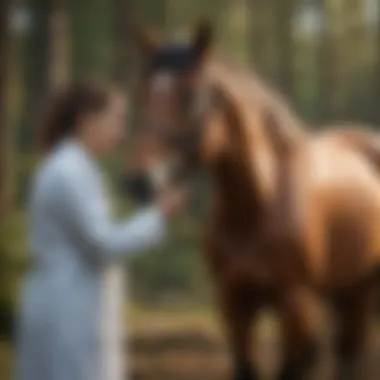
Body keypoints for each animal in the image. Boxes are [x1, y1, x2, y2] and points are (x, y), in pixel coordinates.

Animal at [124, 21, 380, 380]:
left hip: (360, 294)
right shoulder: (234, 303)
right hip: (348, 294)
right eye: (143, 93)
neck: (258, 207)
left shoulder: (296, 304)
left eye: (192, 97)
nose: (140, 181)